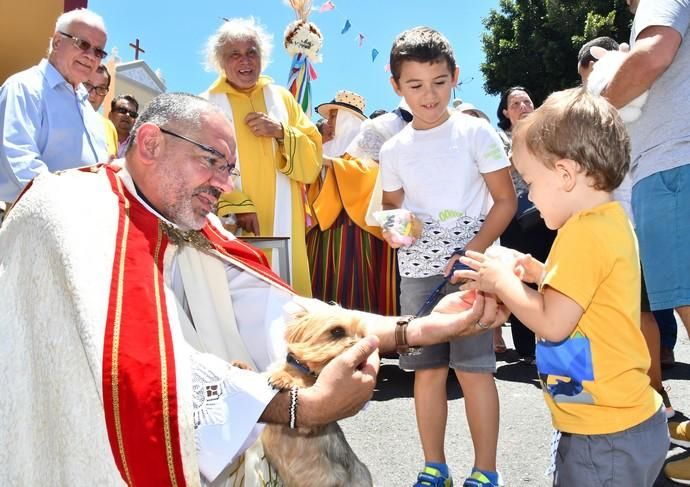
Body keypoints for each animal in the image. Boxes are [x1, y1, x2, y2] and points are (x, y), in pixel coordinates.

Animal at [260, 304, 374, 487]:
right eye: (337, 331)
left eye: (363, 336)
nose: (362, 351)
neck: (304, 370)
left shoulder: (307, 425)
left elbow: (302, 384)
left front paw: (285, 379)